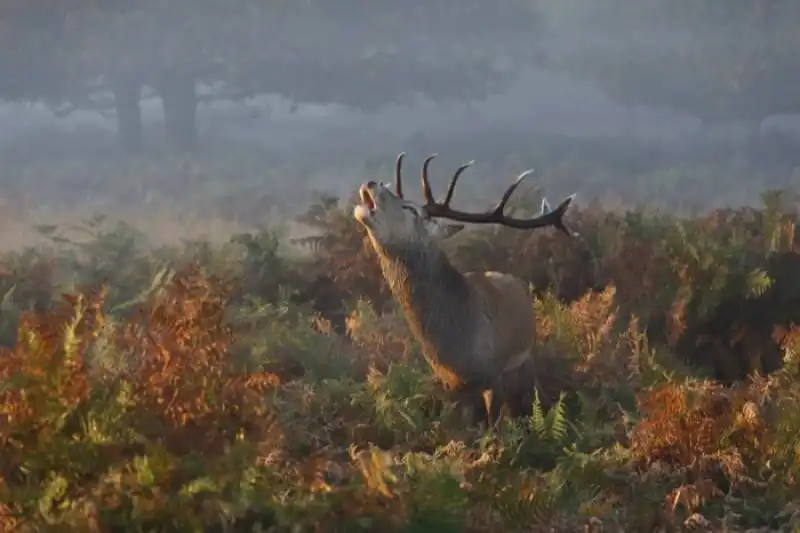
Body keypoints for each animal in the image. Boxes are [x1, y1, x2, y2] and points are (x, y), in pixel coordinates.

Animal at [352, 153, 576, 424]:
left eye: (410, 208)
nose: (371, 183)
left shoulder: (494, 374)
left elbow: (493, 425)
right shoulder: (450, 385)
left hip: (526, 356)